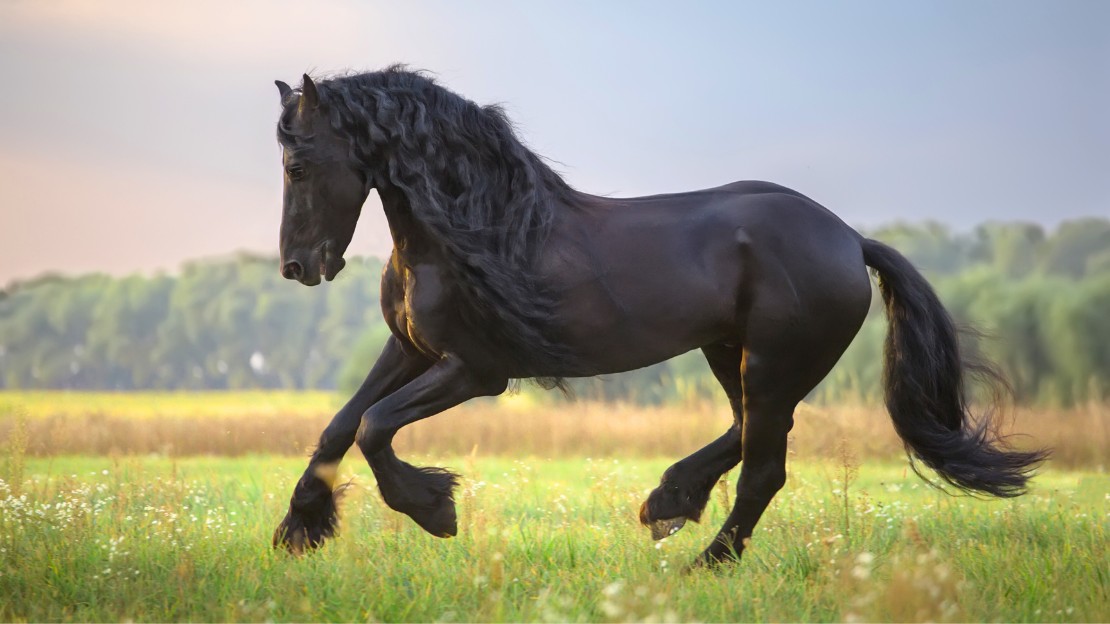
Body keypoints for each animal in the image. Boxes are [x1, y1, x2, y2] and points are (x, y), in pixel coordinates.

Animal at [270, 67, 1046, 566]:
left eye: (298, 166)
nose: (298, 267)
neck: (470, 230)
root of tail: (850, 240)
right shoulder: (411, 350)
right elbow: (340, 423)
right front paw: (298, 528)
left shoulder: (477, 369)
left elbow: (374, 426)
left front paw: (434, 510)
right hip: (729, 354)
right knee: (745, 434)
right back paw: (669, 501)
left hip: (772, 363)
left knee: (765, 466)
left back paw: (706, 560)